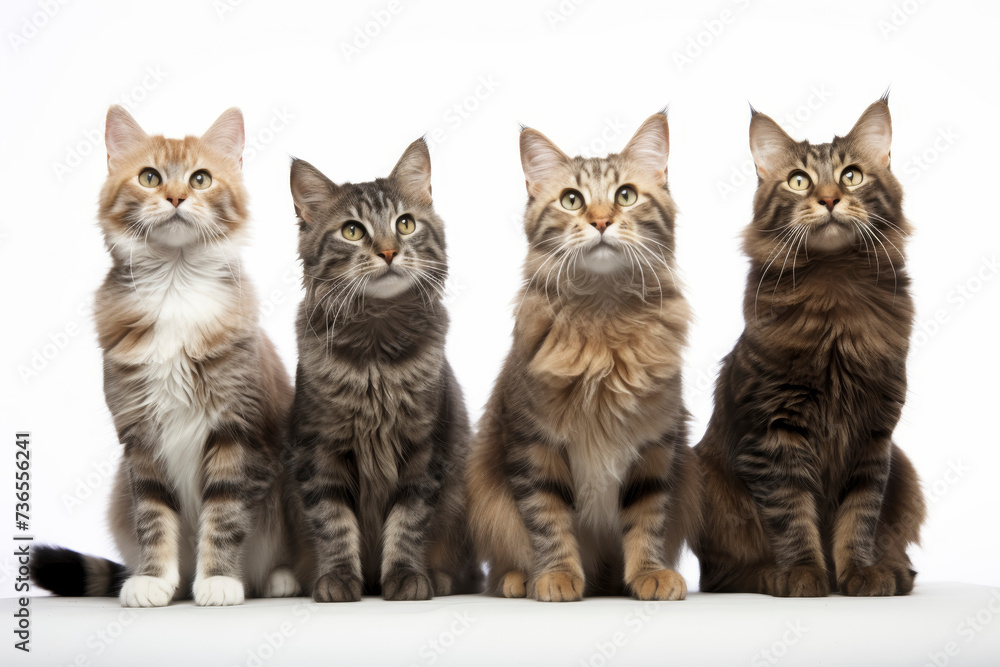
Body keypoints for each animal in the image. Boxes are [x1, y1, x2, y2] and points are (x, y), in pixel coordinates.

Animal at [32, 103, 304, 604]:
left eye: (200, 179)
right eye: (150, 177)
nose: (176, 197)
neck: (176, 287)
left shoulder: (235, 430)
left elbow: (225, 515)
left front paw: (218, 580)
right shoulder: (139, 436)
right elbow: (154, 518)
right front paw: (154, 580)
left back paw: (277, 579)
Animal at [468, 112, 704, 604]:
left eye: (625, 195)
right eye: (572, 200)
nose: (600, 221)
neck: (603, 317)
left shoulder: (656, 444)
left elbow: (648, 519)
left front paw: (649, 573)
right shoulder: (533, 442)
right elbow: (547, 519)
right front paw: (556, 575)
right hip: (487, 497)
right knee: (503, 558)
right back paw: (519, 579)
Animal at [692, 96, 924, 596]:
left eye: (851, 175)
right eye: (799, 181)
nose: (830, 199)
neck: (834, 291)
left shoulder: (873, 435)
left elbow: (859, 516)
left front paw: (859, 574)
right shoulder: (775, 430)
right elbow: (792, 512)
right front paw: (803, 574)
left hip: (904, 470)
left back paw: (895, 570)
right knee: (720, 573)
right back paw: (767, 575)